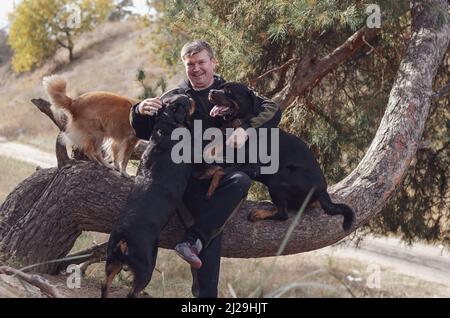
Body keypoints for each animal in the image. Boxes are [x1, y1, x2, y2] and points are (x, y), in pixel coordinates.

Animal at [102, 94, 195, 298]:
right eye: (187, 100)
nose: (192, 97)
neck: (166, 126)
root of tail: (123, 240)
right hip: (146, 268)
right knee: (133, 292)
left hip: (111, 262)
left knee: (105, 286)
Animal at [207, 82, 356, 231]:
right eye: (220, 87)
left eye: (229, 91)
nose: (211, 91)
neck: (239, 123)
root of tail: (322, 190)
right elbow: (218, 168)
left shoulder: (252, 167)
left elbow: (221, 171)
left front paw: (211, 187)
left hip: (278, 178)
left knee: (283, 214)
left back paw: (259, 213)